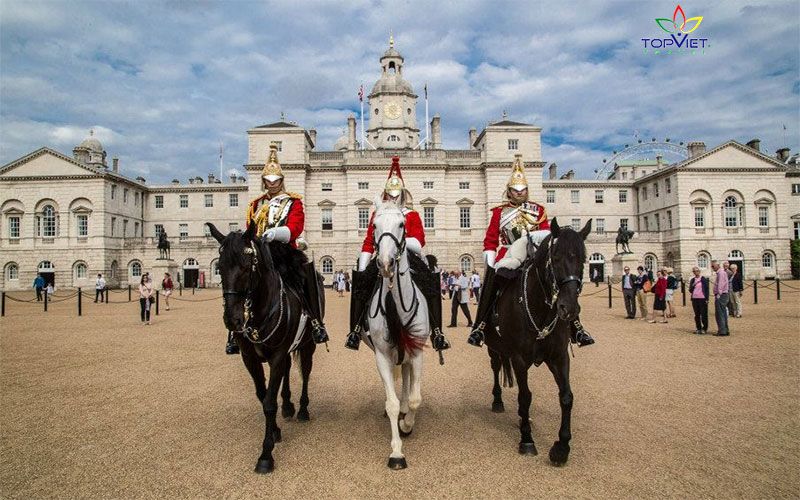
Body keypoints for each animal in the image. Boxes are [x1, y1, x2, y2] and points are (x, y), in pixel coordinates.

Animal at [206, 221, 317, 474]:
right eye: (220, 267)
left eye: (248, 266)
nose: (233, 320)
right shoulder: (250, 358)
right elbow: (263, 395)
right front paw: (275, 430)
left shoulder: (277, 355)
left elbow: (268, 402)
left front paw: (266, 454)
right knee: (287, 372)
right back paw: (288, 406)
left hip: (307, 345)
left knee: (305, 373)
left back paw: (302, 410)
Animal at [362, 198, 431, 470]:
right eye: (373, 225)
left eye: (403, 224)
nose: (385, 264)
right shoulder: (381, 354)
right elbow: (390, 402)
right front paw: (397, 452)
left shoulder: (418, 353)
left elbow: (415, 398)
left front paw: (407, 424)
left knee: (409, 381)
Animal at [485, 217, 591, 466]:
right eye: (556, 258)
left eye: (583, 259)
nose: (568, 309)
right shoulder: (518, 358)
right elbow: (525, 396)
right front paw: (527, 440)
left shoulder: (559, 357)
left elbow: (566, 397)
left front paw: (561, 447)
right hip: (494, 347)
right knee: (496, 367)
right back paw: (498, 401)